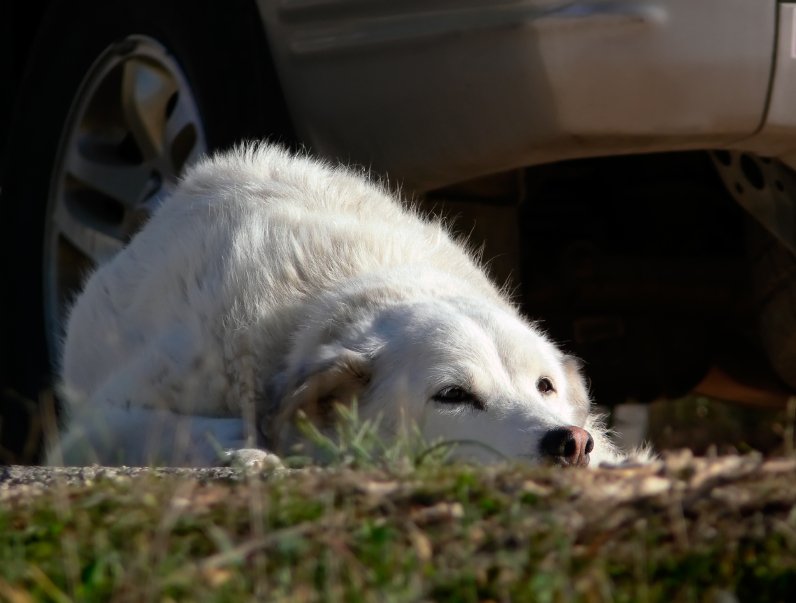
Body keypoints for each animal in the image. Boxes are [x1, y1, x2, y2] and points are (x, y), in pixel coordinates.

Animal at [51, 144, 636, 470]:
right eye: (453, 395)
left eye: (546, 387)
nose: (571, 444)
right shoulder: (93, 428)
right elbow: (192, 428)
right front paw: (253, 449)